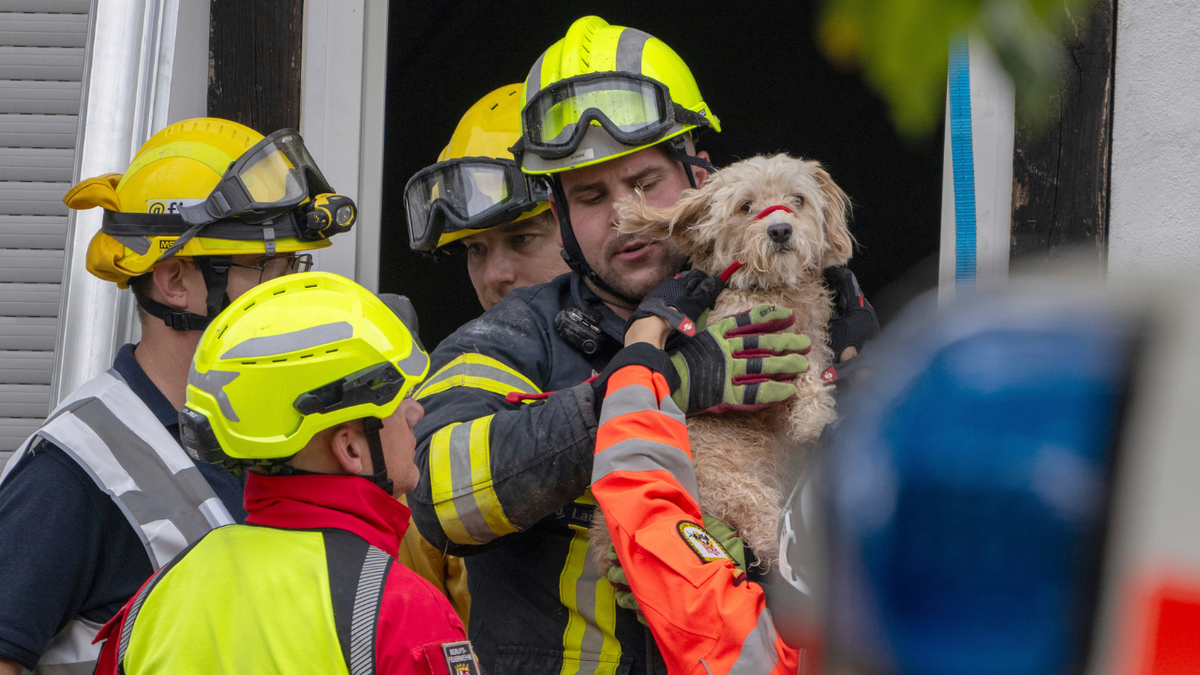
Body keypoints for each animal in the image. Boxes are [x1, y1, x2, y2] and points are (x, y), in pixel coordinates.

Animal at [595, 152, 849, 566]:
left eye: (798, 200)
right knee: (768, 540)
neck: (771, 289)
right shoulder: (766, 351)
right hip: (741, 493)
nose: (780, 230)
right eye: (746, 206)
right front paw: (814, 418)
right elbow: (805, 372)